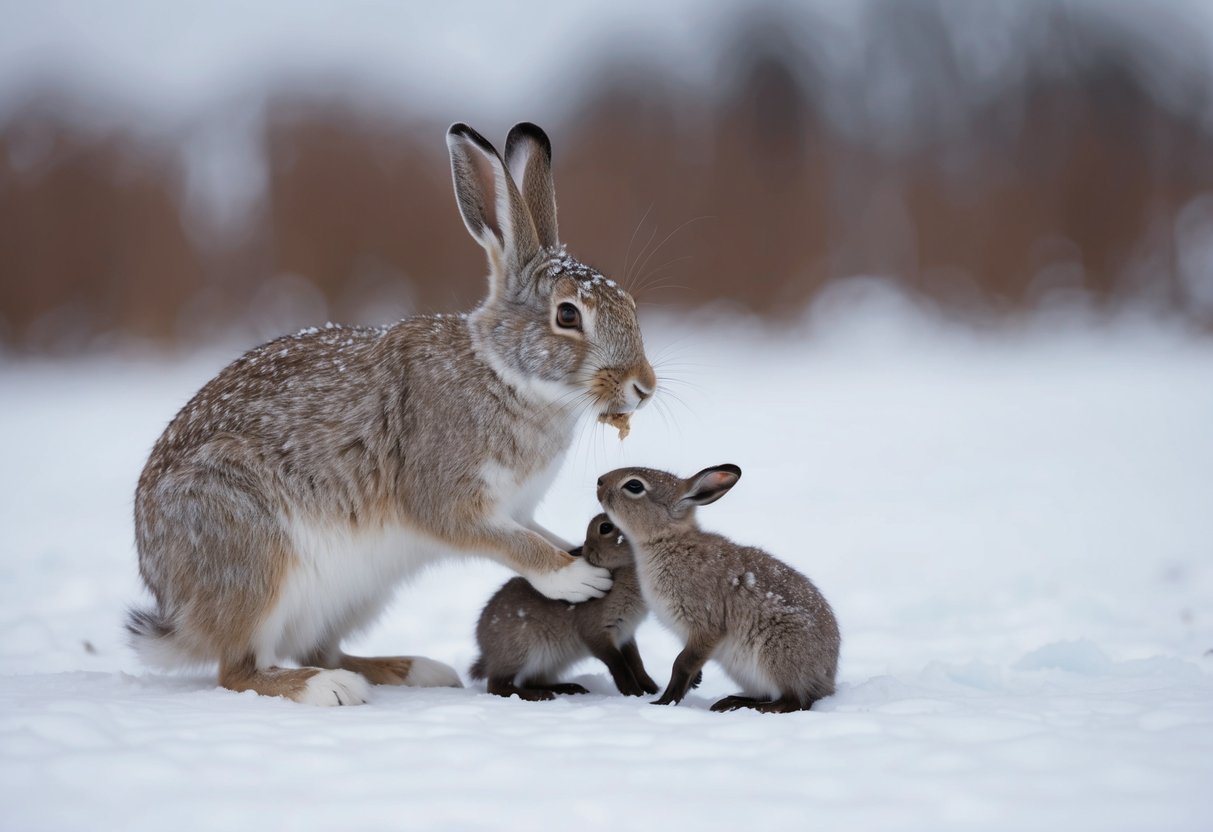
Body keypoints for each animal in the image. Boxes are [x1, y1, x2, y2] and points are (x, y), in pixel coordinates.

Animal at [469, 513, 659, 701]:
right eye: (605, 527)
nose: (585, 550)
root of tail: (484, 647)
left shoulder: (626, 634)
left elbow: (636, 662)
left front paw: (652, 689)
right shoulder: (597, 632)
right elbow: (618, 664)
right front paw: (633, 693)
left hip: (550, 660)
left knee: (531, 680)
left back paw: (569, 688)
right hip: (523, 651)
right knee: (497, 686)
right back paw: (539, 695)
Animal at [597, 464, 840, 713]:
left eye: (634, 486)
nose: (600, 481)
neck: (667, 540)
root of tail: (826, 679)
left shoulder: (705, 623)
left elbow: (681, 663)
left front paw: (665, 701)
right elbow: (691, 663)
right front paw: (688, 686)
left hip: (777, 654)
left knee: (795, 701)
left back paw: (749, 706)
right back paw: (732, 701)